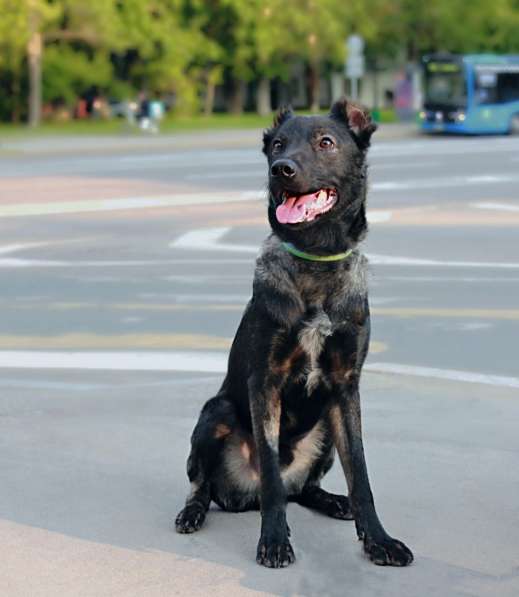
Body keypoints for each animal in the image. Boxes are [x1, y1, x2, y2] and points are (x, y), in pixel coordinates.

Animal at [176, 98, 414, 568]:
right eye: (278, 145)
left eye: (326, 142)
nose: (281, 169)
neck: (316, 260)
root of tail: (242, 497)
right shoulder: (264, 384)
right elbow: (270, 472)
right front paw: (273, 540)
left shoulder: (346, 388)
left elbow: (361, 473)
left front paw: (378, 539)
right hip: (216, 411)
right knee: (208, 485)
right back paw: (193, 512)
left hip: (324, 429)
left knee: (303, 489)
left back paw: (333, 502)